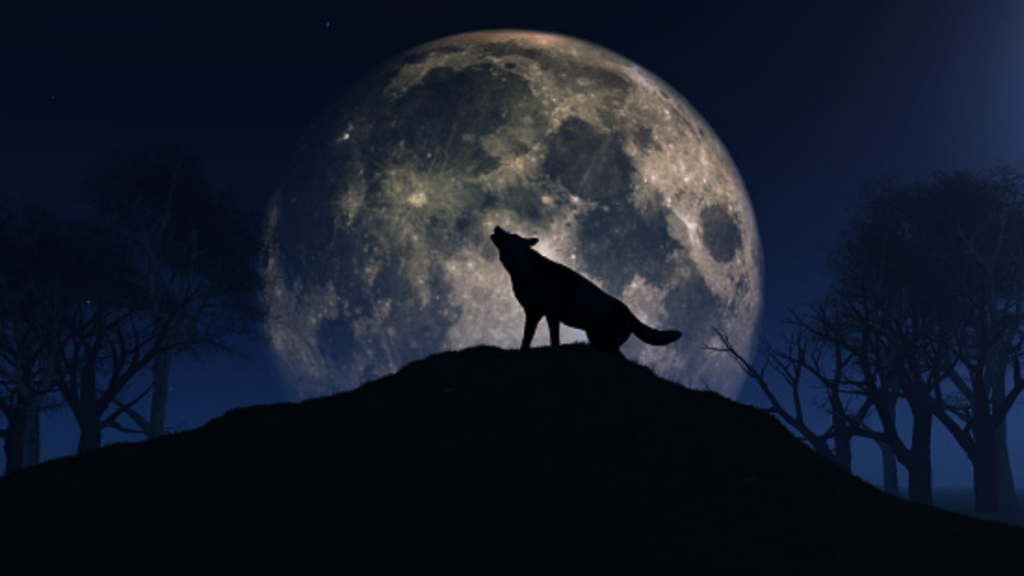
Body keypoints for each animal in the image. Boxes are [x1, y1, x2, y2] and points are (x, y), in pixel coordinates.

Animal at [490, 226, 682, 355]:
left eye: (512, 235)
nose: (497, 227)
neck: (525, 268)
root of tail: (630, 314)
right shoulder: (533, 314)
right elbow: (526, 341)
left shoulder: (552, 315)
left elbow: (554, 342)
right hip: (597, 340)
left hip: (603, 343)